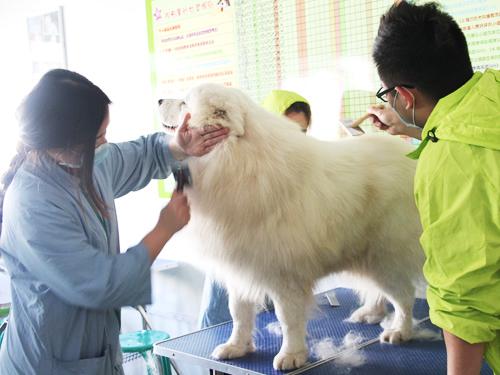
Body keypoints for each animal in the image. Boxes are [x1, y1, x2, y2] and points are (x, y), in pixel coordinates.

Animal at [158, 83, 424, 372]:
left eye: (184, 103)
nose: (158, 99)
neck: (235, 160)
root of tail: (411, 160)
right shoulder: (239, 269)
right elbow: (238, 313)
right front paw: (236, 347)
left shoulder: (284, 273)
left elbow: (288, 318)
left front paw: (291, 355)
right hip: (367, 256)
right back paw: (371, 314)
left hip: (385, 256)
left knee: (404, 296)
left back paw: (400, 330)